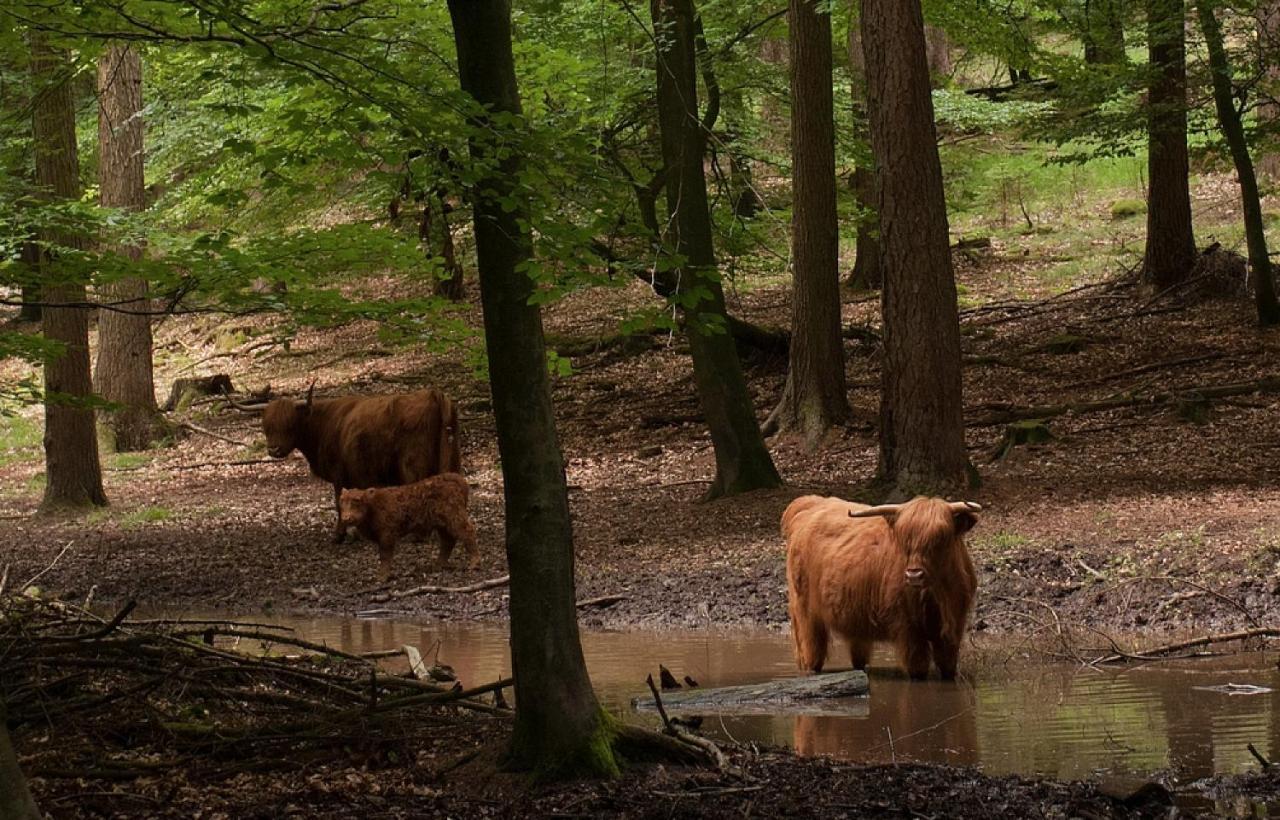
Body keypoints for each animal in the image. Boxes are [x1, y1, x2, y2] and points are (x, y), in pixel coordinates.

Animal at [259, 386, 460, 539]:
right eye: (267, 426)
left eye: (290, 425)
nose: (274, 450)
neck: (323, 424)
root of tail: (432, 394)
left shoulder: (338, 474)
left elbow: (339, 501)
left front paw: (339, 535)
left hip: (412, 465)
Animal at [778, 496, 977, 680]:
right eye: (904, 539)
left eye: (941, 537)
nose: (914, 575)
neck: (938, 595)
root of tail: (808, 502)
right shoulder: (908, 629)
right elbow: (918, 670)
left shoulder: (953, 630)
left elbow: (948, 667)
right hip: (806, 614)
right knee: (811, 654)